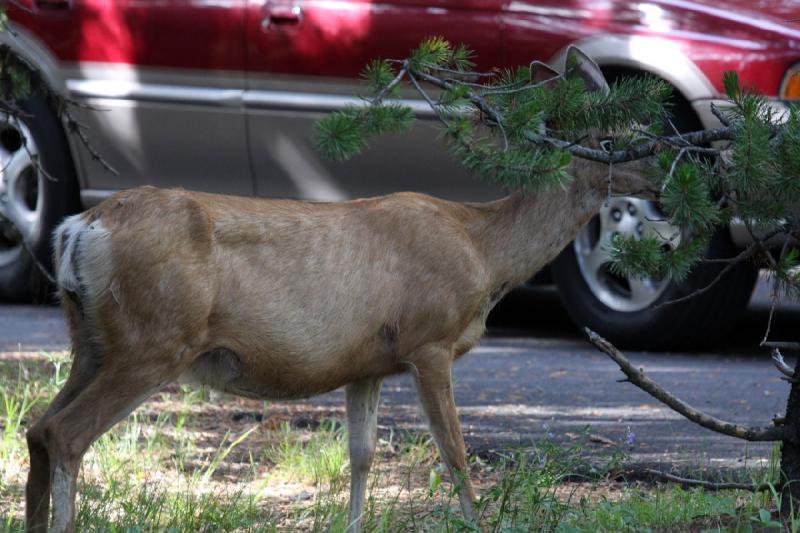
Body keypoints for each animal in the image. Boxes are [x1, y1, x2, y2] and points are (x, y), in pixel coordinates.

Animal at [25, 47, 656, 528]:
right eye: (613, 140)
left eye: (641, 128)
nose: (660, 172)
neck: (482, 248)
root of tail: (79, 227)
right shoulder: (428, 340)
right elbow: (455, 455)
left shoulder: (366, 364)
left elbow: (362, 456)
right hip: (153, 339)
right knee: (65, 433)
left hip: (92, 340)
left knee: (36, 428)